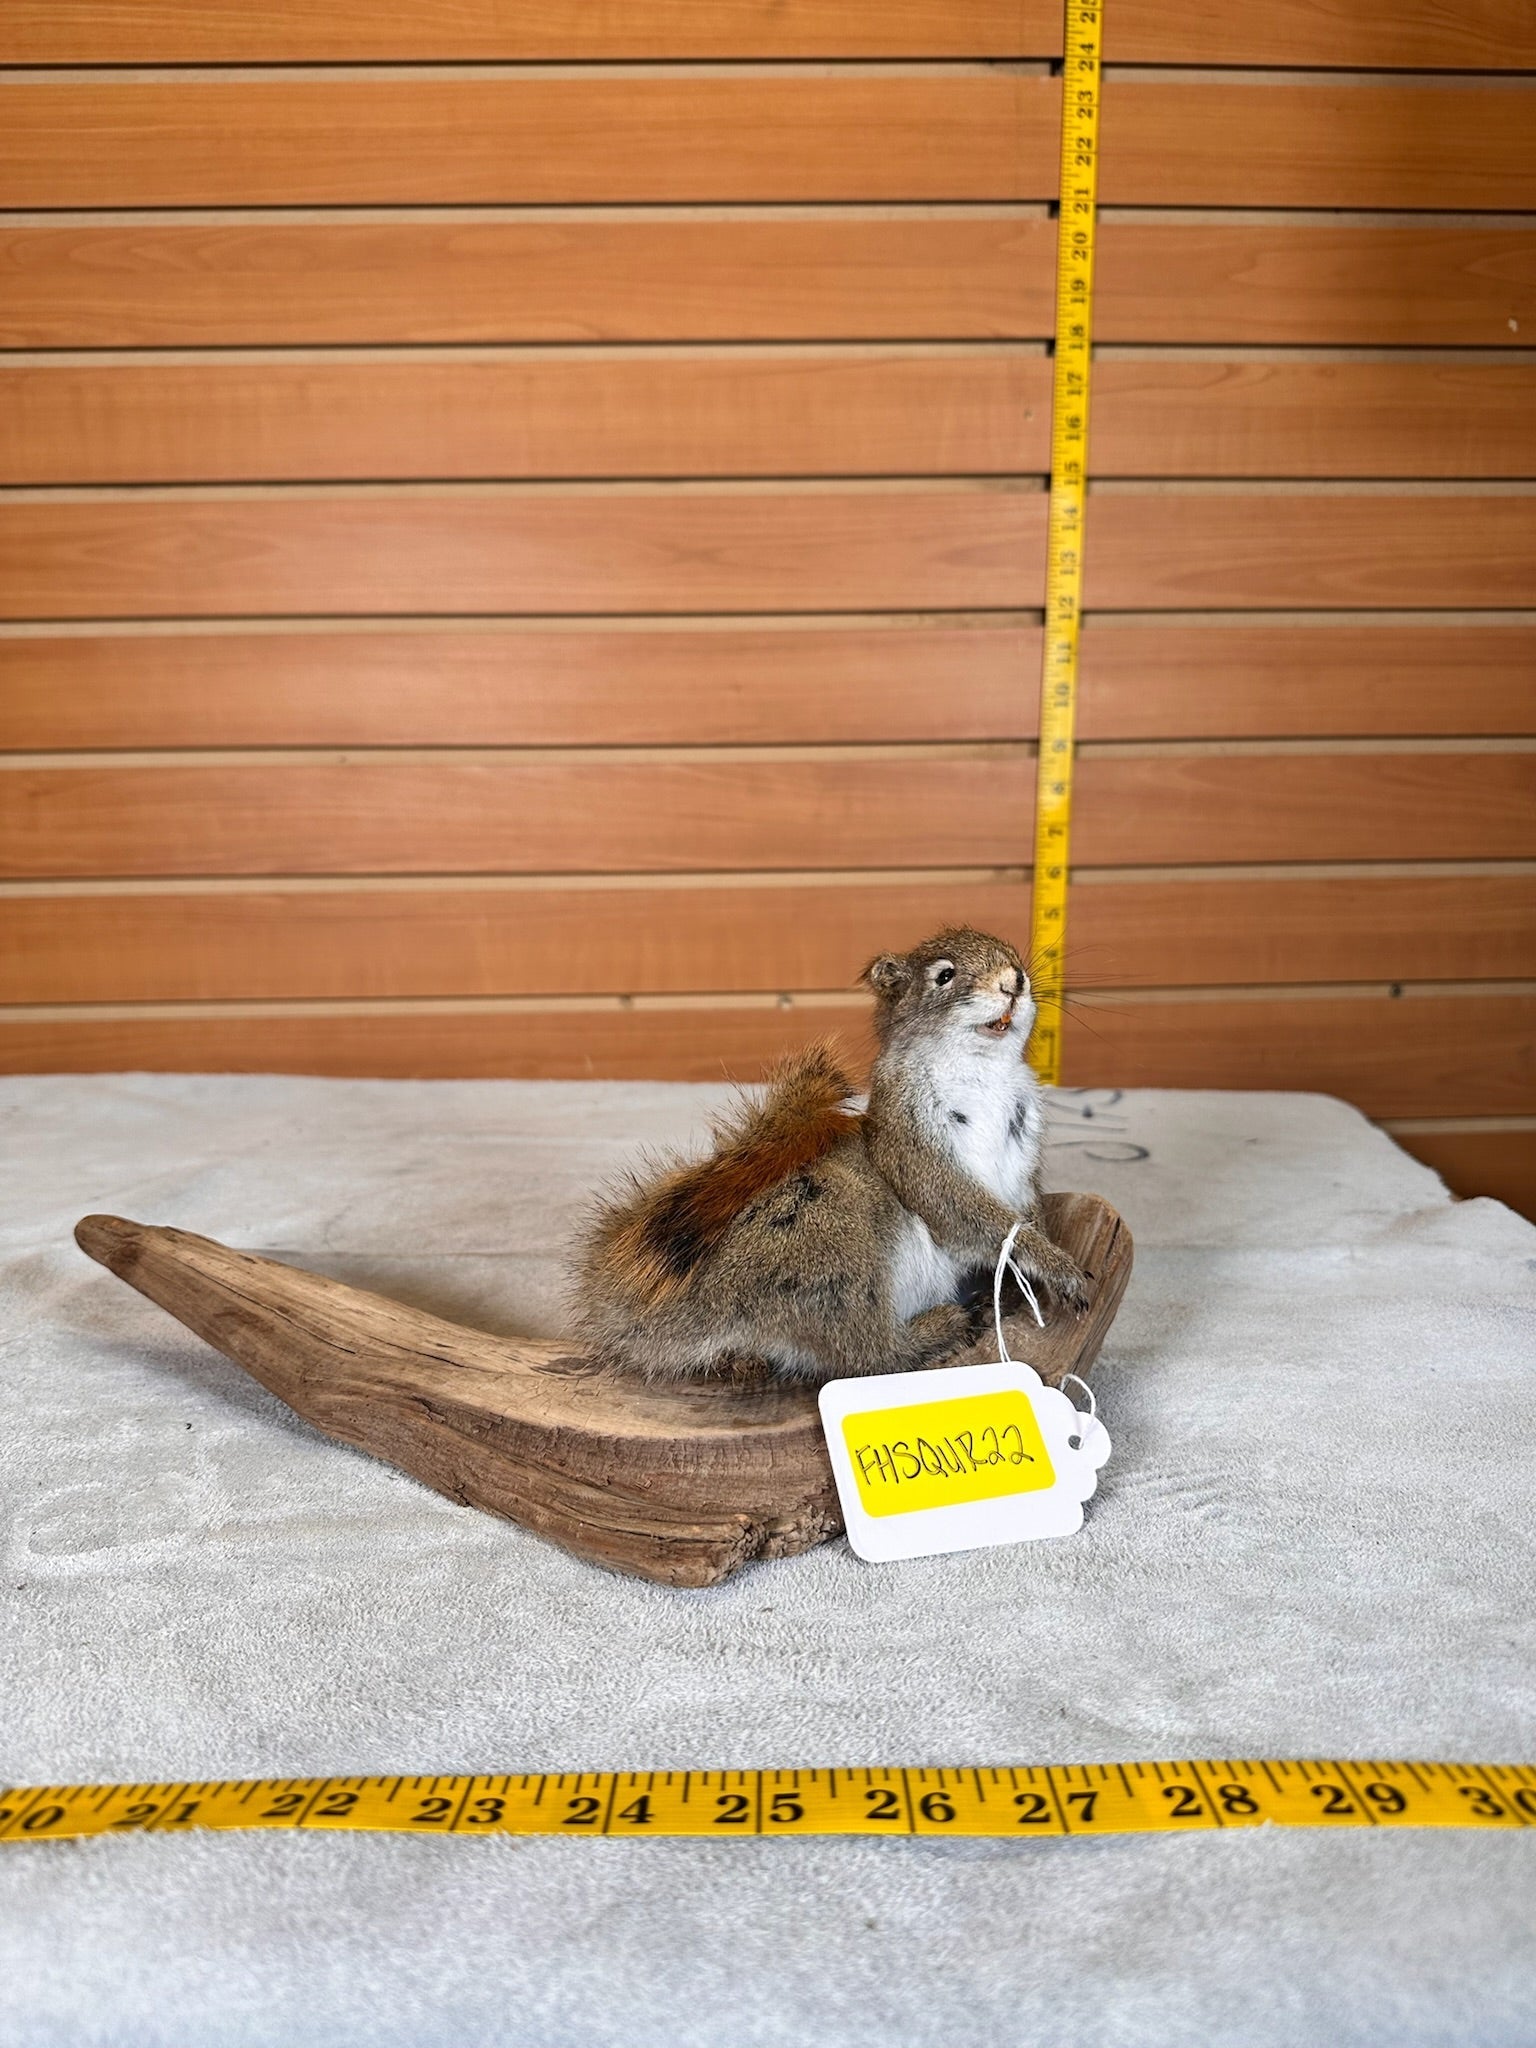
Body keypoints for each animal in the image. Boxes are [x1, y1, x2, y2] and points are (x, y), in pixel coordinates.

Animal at [572, 927, 1089, 1386]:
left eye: (1012, 954)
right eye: (944, 976)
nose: (1014, 980)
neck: (984, 1069)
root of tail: (700, 1311)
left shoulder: (1023, 1161)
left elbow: (1026, 1210)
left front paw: (1036, 1268)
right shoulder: (911, 1148)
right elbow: (972, 1213)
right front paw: (1057, 1267)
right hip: (833, 1243)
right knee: (872, 1356)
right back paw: (943, 1325)